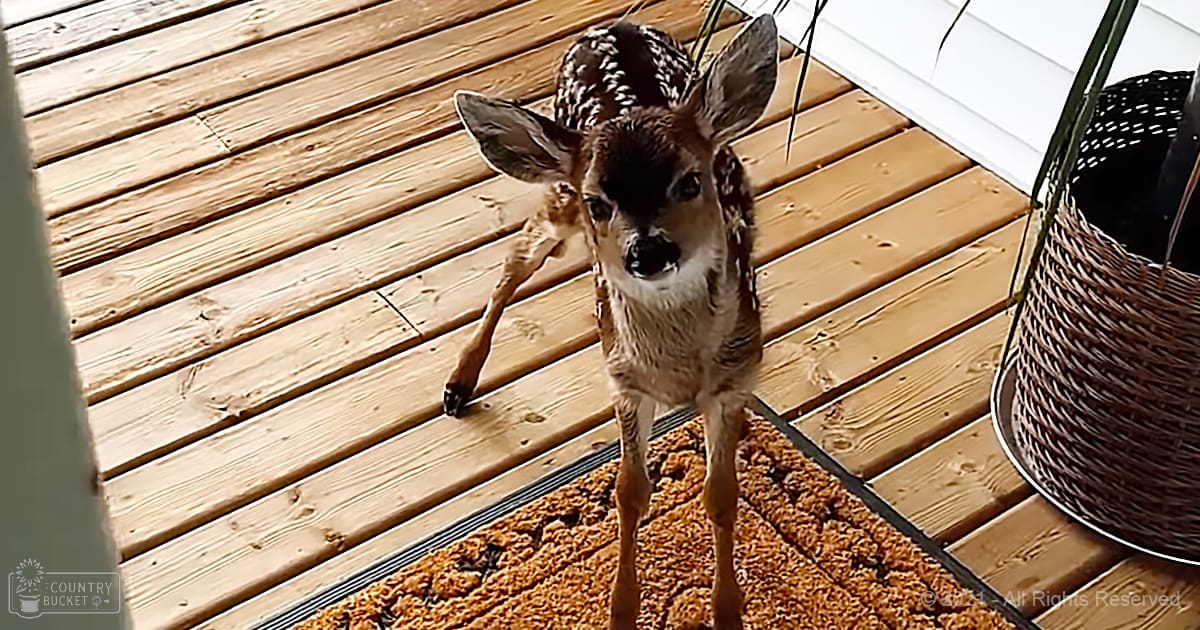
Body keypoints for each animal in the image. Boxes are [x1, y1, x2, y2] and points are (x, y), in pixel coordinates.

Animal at [444, 13, 779, 629]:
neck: (677, 374)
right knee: (515, 260)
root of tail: (615, 23)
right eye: (599, 200)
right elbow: (628, 491)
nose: (647, 252)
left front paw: (727, 611)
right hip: (556, 195)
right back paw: (459, 383)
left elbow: (721, 494)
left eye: (690, 181)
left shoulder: (735, 378)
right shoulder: (623, 380)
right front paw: (621, 610)